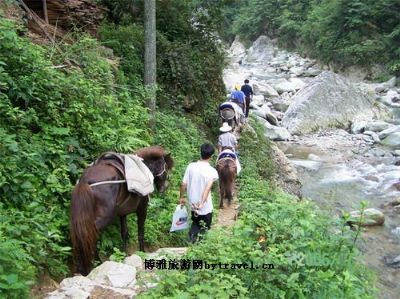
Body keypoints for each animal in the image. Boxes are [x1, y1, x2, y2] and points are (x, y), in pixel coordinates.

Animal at [70, 146, 173, 276]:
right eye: (166, 167)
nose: (165, 187)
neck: (143, 167)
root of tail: (85, 181)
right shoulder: (142, 209)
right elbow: (140, 233)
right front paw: (142, 252)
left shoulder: (122, 213)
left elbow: (124, 233)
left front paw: (124, 255)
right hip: (104, 217)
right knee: (90, 235)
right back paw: (95, 263)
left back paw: (80, 267)